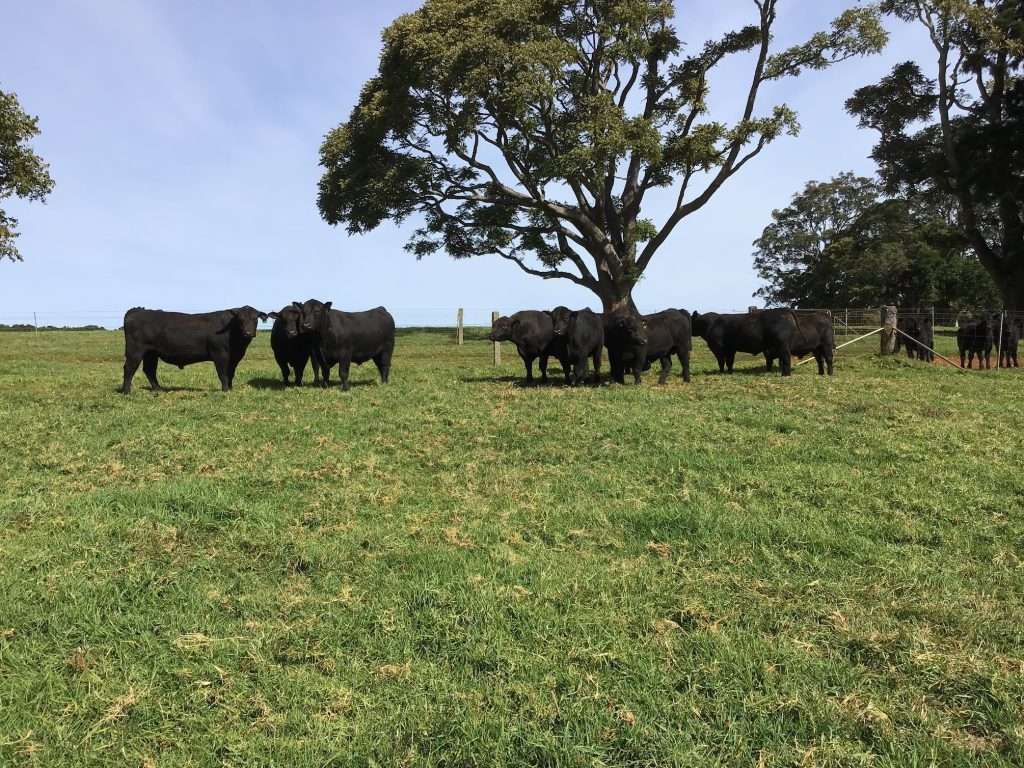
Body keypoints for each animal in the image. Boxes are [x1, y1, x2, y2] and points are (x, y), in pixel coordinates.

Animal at [120, 306, 267, 394]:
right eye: (240, 319)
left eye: (255, 319)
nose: (248, 333)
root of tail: (137, 310)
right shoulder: (220, 354)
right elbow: (223, 374)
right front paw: (225, 390)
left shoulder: (235, 358)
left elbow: (230, 373)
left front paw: (230, 389)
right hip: (135, 351)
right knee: (129, 368)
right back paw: (127, 391)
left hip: (151, 353)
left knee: (149, 370)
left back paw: (158, 389)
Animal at [692, 309, 834, 376]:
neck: (711, 324)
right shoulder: (731, 349)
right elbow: (730, 362)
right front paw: (729, 372)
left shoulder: (717, 348)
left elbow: (721, 361)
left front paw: (721, 372)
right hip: (816, 348)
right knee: (820, 360)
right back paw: (821, 373)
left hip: (823, 345)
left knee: (827, 358)